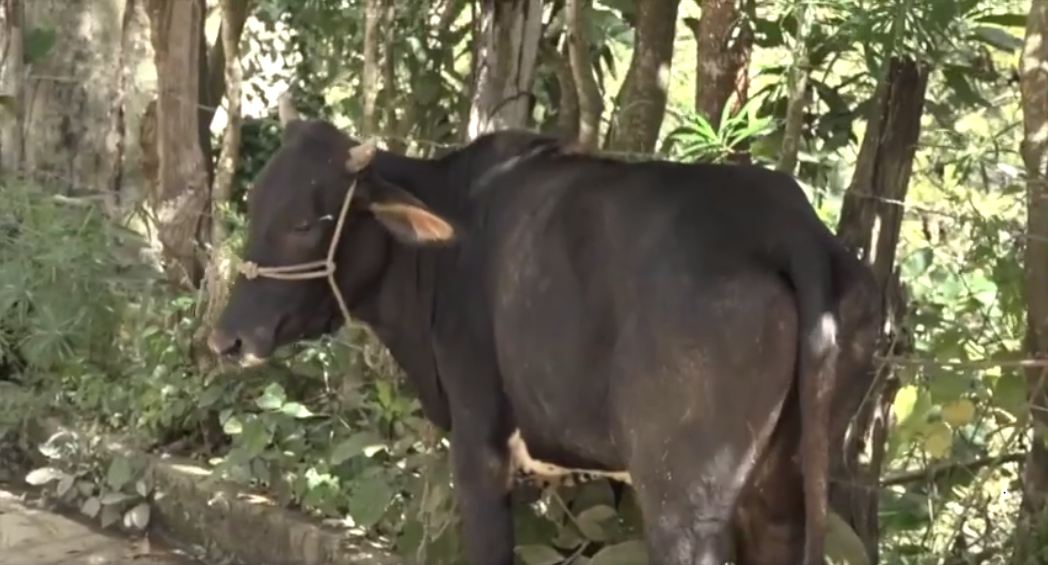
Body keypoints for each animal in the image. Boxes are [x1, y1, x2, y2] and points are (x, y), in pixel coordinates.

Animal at [207, 100, 879, 565]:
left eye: (304, 223)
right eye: (254, 204)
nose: (227, 339)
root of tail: (790, 229)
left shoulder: (480, 437)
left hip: (684, 495)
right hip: (781, 483)